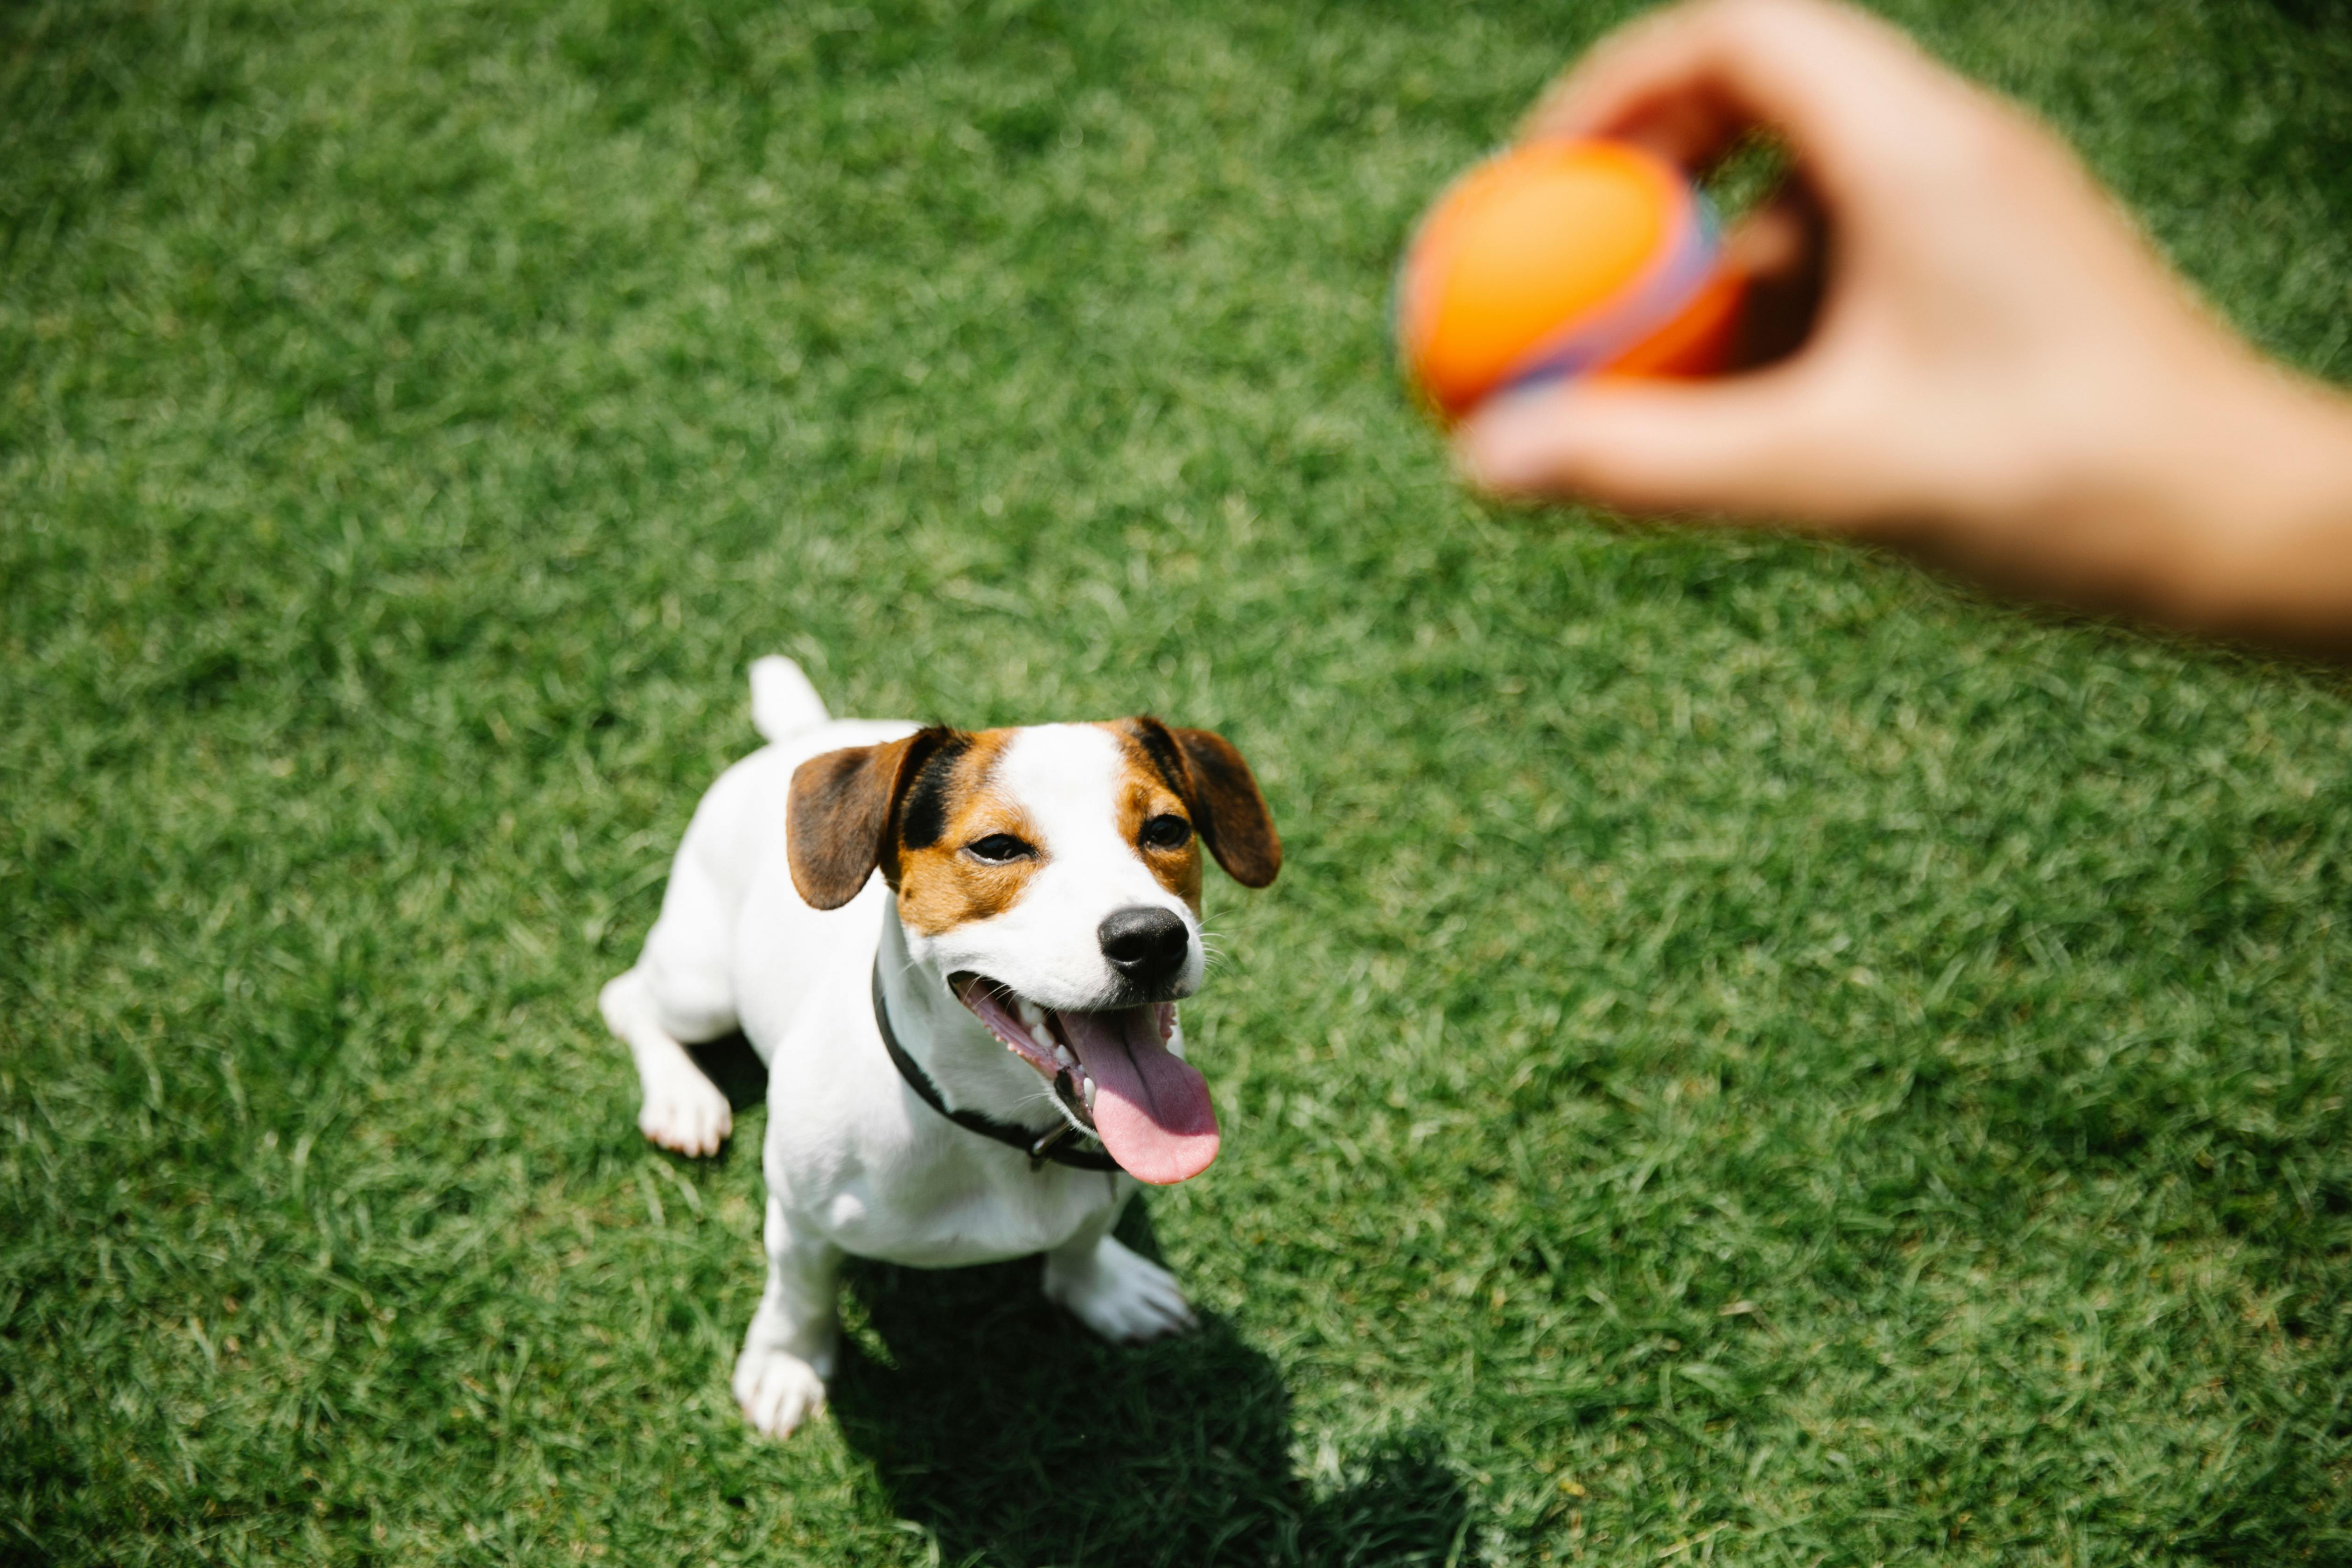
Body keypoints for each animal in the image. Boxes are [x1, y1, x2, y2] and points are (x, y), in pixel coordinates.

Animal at [597, 658, 1279, 1438]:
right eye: (997, 847)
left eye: (1168, 829)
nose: (1151, 938)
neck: (994, 1129)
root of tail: (806, 734)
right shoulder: (798, 1215)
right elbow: (799, 1292)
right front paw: (786, 1361)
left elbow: (1080, 1240)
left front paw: (1103, 1289)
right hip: (701, 986)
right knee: (627, 1000)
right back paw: (683, 1099)